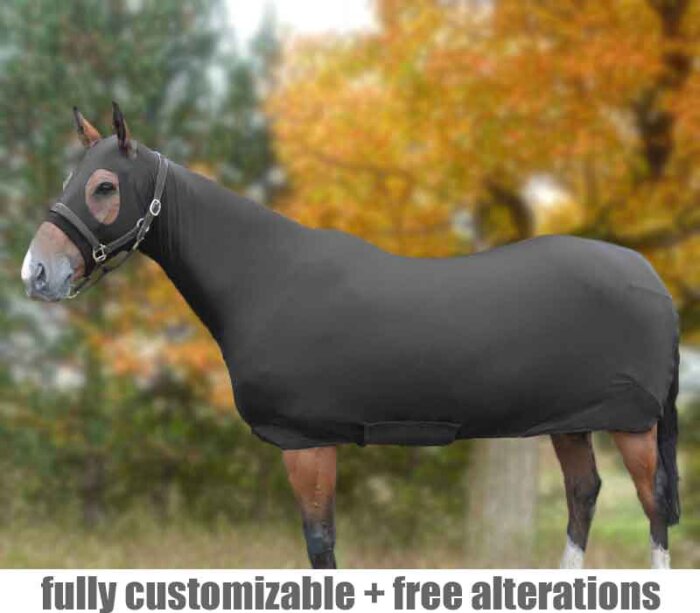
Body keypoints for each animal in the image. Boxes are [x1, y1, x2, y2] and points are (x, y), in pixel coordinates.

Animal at [22, 104, 680, 569]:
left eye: (105, 187)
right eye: (71, 178)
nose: (36, 272)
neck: (265, 274)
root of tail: (649, 275)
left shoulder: (307, 443)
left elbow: (321, 548)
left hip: (634, 425)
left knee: (652, 511)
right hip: (571, 422)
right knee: (584, 495)